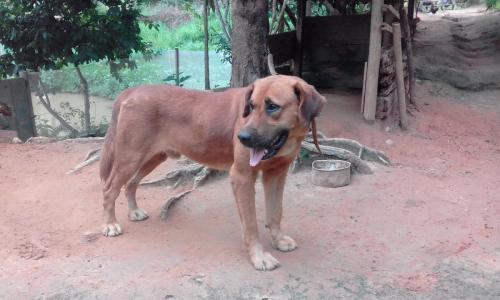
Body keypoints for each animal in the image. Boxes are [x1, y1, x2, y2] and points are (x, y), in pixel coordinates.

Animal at [99, 74, 326, 270]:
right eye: (251, 106)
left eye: (272, 107)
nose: (242, 137)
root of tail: (132, 90)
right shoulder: (242, 177)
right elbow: (251, 224)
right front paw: (258, 257)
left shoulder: (277, 174)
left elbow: (275, 212)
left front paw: (278, 240)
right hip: (130, 157)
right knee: (109, 190)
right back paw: (110, 224)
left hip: (153, 157)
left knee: (130, 184)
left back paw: (134, 211)